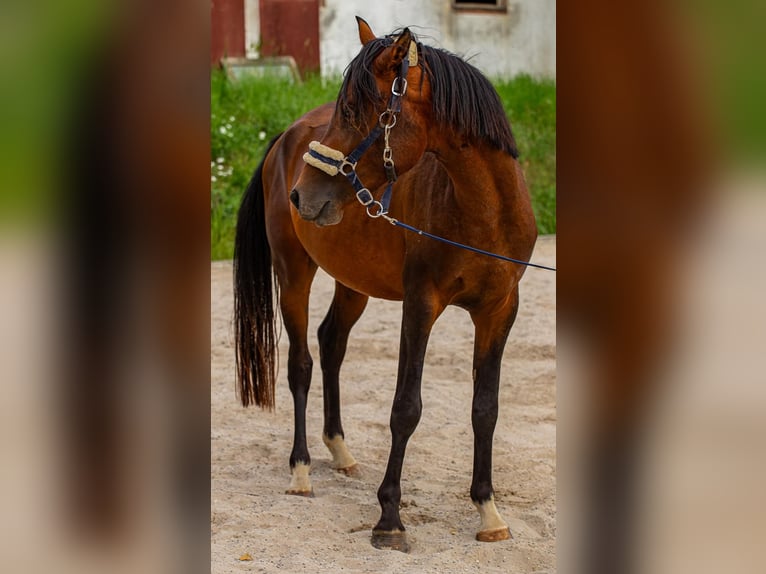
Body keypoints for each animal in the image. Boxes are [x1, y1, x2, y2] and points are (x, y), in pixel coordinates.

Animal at [236, 15, 540, 552]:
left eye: (356, 110)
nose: (301, 196)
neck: (484, 212)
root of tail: (287, 136)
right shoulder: (420, 304)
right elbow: (405, 408)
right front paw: (390, 518)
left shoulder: (500, 310)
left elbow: (485, 408)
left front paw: (487, 510)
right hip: (293, 273)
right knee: (300, 365)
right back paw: (301, 470)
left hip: (353, 282)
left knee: (331, 343)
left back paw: (340, 451)